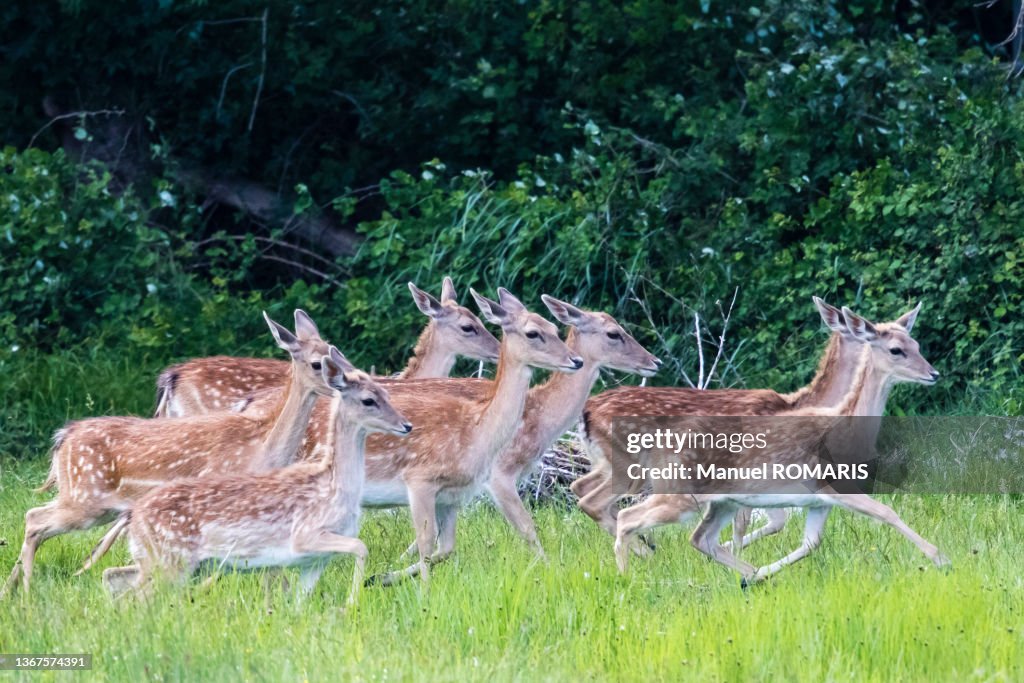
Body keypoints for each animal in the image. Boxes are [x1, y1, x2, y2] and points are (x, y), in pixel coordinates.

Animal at [2, 313, 342, 593]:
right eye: (318, 363)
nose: (345, 380)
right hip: (85, 500)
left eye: (335, 350)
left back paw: (13, 590)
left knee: (37, 521)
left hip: (90, 502)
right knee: (34, 519)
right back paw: (26, 592)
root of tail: (63, 437)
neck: (262, 447)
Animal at [101, 352, 409, 602]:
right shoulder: (305, 535)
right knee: (137, 595)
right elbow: (361, 548)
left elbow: (301, 602)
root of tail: (134, 516)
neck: (335, 487)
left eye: (386, 393)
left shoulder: (313, 560)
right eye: (369, 400)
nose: (406, 425)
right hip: (171, 560)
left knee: (115, 577)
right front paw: (353, 602)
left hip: (163, 561)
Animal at [610, 307, 946, 585]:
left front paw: (761, 574)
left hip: (723, 501)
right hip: (681, 493)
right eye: (896, 350)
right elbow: (887, 512)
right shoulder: (831, 486)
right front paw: (941, 558)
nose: (934, 373)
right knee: (628, 519)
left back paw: (750, 576)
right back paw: (627, 579)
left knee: (699, 538)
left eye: (917, 345)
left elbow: (810, 543)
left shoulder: (818, 502)